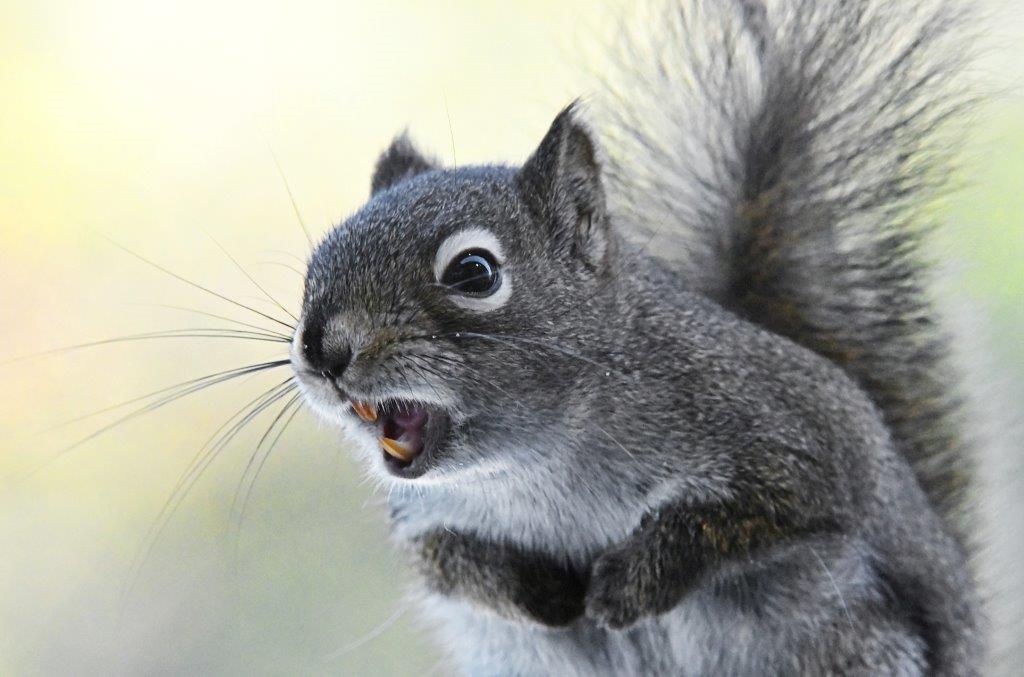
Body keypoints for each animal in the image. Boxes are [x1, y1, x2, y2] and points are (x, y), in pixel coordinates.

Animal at [290, 0, 985, 674]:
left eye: (474, 272)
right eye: (314, 266)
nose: (322, 351)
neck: (530, 466)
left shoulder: (791, 441)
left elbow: (751, 515)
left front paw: (628, 584)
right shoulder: (422, 518)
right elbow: (444, 561)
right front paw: (537, 590)